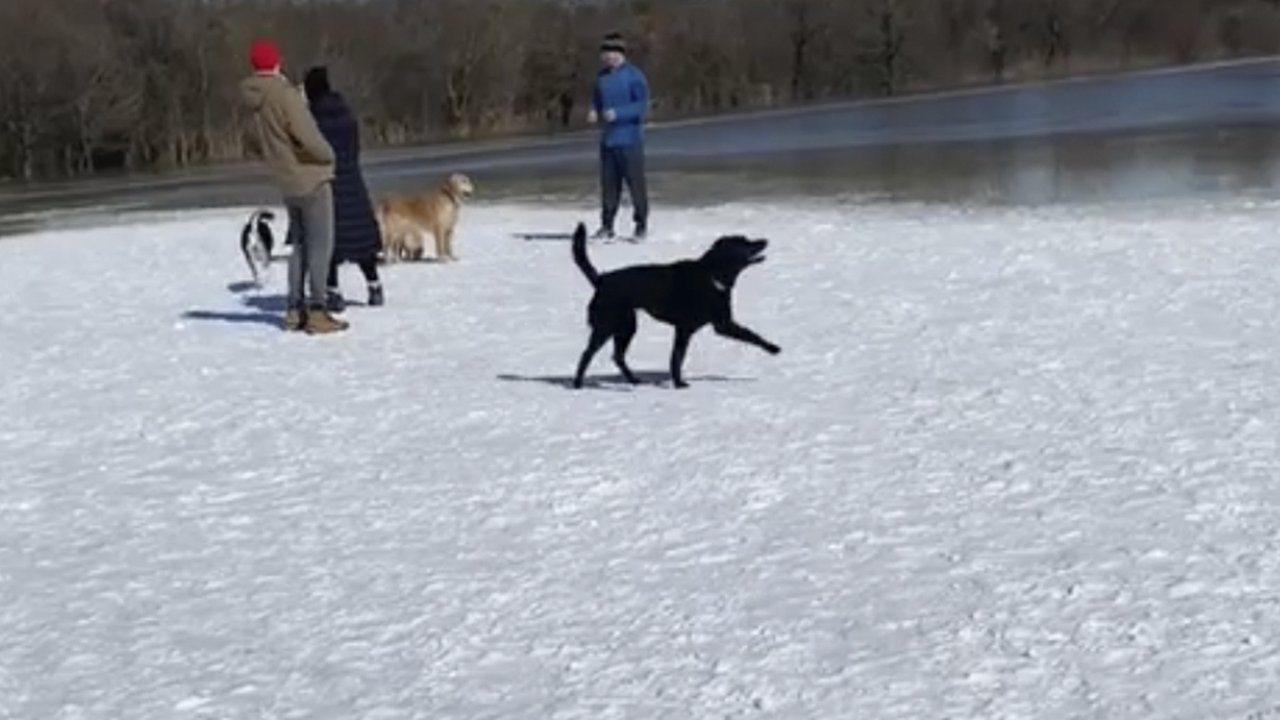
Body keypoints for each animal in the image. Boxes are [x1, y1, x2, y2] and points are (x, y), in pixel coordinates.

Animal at [573, 222, 778, 386]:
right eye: (744, 242)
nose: (765, 240)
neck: (711, 275)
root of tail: (601, 280)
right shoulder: (688, 329)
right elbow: (678, 357)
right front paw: (679, 383)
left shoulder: (720, 324)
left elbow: (750, 334)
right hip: (606, 326)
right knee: (587, 354)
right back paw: (577, 384)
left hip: (626, 326)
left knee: (617, 356)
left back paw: (633, 380)